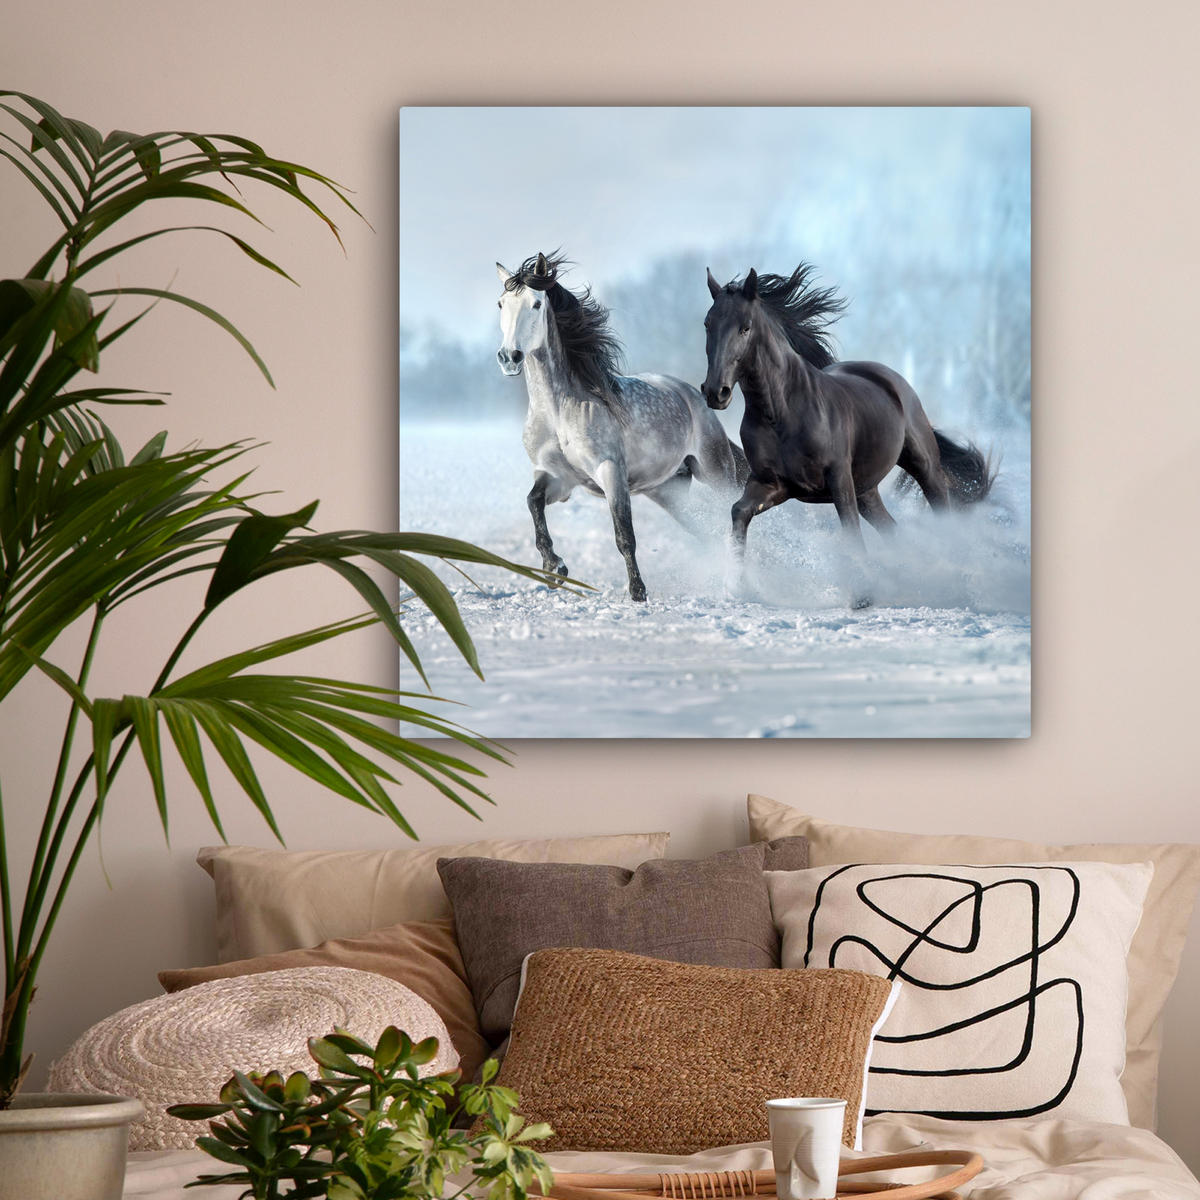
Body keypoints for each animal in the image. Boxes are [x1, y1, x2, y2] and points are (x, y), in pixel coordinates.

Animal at [496, 251, 747, 601]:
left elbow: (624, 535)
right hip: (668, 491)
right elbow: (533, 503)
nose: (510, 357)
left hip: (716, 472)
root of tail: (693, 395)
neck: (559, 412)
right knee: (705, 530)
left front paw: (638, 592)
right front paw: (554, 568)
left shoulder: (610, 472)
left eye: (535, 304)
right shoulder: (558, 478)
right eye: (501, 303)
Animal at [700, 263, 994, 607]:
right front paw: (738, 586)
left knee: (941, 510)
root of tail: (892, 380)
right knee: (892, 530)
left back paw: (955, 583)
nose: (715, 392)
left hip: (923, 466)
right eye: (707, 324)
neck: (782, 412)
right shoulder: (772, 484)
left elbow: (850, 530)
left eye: (745, 328)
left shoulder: (838, 479)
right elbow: (739, 512)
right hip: (867, 490)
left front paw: (863, 595)